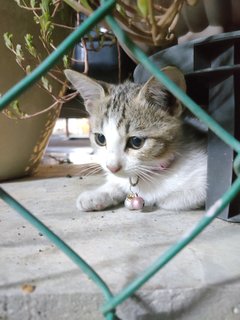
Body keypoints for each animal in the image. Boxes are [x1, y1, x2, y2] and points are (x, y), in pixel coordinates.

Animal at [64, 67, 207, 212]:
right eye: (100, 138)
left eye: (136, 141)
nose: (112, 168)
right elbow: (117, 183)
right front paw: (98, 194)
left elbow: (178, 199)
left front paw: (164, 199)